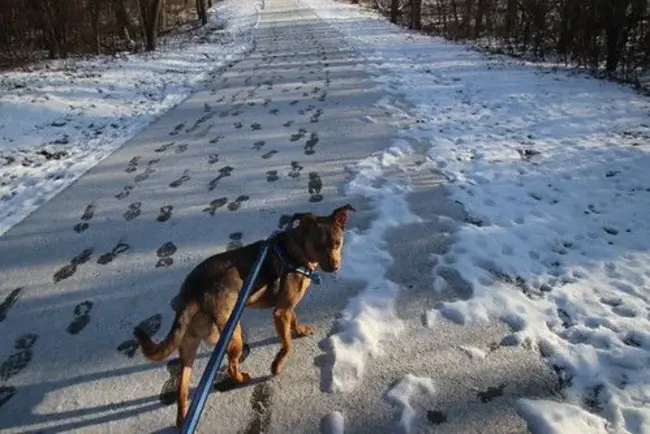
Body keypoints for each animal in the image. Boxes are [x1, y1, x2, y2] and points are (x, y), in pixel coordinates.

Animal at [133, 203, 354, 428]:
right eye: (318, 246)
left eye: (338, 243)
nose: (335, 267)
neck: (296, 248)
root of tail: (193, 292)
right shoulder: (281, 311)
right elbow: (287, 343)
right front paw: (277, 365)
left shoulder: (286, 308)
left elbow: (294, 320)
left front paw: (299, 330)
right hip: (233, 333)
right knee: (231, 365)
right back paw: (242, 378)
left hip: (189, 344)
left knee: (182, 388)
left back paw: (183, 417)